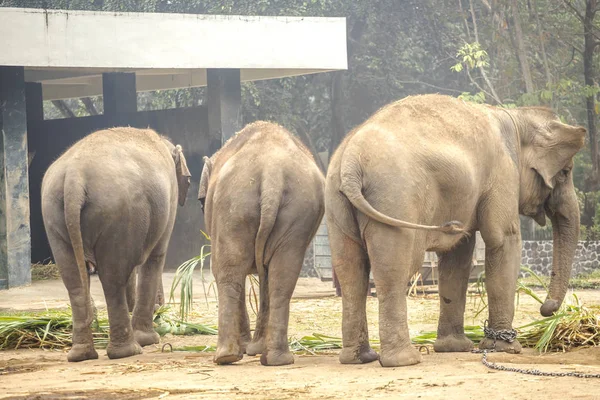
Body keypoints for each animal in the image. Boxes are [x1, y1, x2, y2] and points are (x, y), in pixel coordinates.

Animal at [41, 128, 190, 362]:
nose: (160, 308)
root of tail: (75, 175)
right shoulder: (170, 198)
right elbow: (155, 256)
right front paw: (150, 339)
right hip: (119, 211)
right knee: (113, 279)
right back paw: (128, 351)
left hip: (54, 214)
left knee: (75, 281)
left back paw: (82, 354)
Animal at [199, 121, 326, 366]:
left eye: (201, 202)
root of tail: (272, 172)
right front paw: (254, 348)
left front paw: (249, 348)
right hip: (294, 209)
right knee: (282, 276)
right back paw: (276, 359)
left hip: (233, 203)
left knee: (227, 272)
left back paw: (226, 356)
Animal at [326, 94, 584, 368]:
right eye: (565, 172)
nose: (546, 309)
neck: (516, 118)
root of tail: (350, 161)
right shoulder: (502, 173)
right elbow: (503, 239)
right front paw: (505, 348)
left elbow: (457, 257)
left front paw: (455, 348)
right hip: (394, 197)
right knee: (394, 269)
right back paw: (405, 360)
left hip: (336, 204)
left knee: (351, 273)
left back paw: (359, 358)